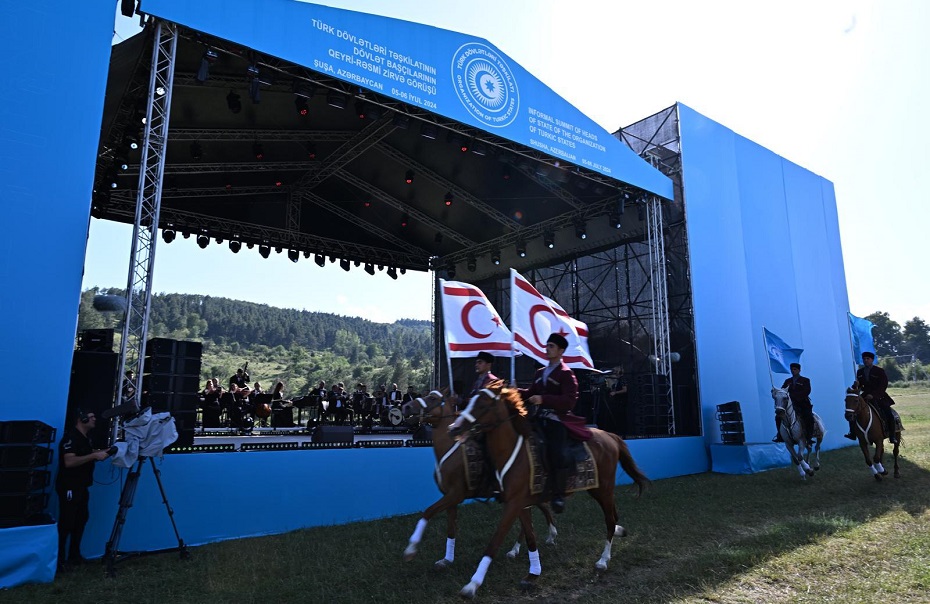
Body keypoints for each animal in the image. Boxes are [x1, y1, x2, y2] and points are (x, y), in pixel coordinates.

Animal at [396, 390, 556, 568]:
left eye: (432, 398)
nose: (406, 406)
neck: (450, 450)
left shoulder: (456, 494)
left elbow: (428, 512)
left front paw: (411, 549)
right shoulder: (450, 498)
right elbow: (451, 528)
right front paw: (447, 559)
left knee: (542, 509)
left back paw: (549, 536)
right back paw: (516, 549)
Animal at [448, 380, 644, 596]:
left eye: (482, 404)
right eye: (469, 400)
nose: (454, 428)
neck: (513, 452)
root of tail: (610, 435)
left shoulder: (514, 503)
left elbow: (496, 540)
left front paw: (472, 584)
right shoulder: (520, 503)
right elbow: (529, 535)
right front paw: (532, 572)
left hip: (603, 489)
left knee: (609, 519)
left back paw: (603, 560)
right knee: (614, 517)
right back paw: (617, 534)